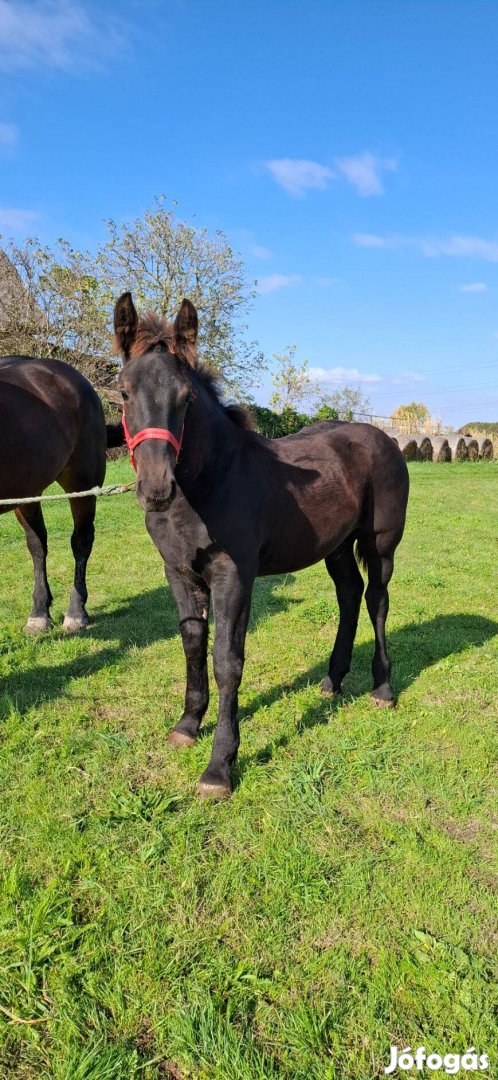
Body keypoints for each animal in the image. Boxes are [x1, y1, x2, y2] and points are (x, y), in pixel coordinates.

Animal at [0, 354, 117, 630]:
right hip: (26, 492)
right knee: (37, 544)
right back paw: (39, 612)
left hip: (82, 483)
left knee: (81, 540)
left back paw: (76, 611)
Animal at [114, 291, 410, 799]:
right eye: (124, 392)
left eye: (187, 398)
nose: (156, 489)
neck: (212, 481)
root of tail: (386, 439)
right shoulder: (178, 571)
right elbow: (192, 645)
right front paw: (187, 725)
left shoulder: (234, 576)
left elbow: (227, 661)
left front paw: (219, 767)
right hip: (335, 546)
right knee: (349, 594)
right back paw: (332, 679)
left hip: (380, 546)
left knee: (377, 600)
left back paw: (383, 688)